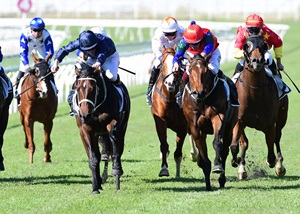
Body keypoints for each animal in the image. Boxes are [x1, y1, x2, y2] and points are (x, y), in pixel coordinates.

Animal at [73, 60, 130, 194]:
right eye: (77, 87)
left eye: (93, 88)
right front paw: (95, 187)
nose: (85, 114)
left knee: (116, 149)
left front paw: (116, 171)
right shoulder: (85, 129)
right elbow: (93, 157)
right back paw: (100, 179)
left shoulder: (113, 123)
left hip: (122, 128)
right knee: (99, 154)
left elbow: (114, 151)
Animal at [151, 46, 193, 178]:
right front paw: (164, 169)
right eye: (163, 62)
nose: (170, 83)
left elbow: (178, 152)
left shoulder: (183, 126)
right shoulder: (160, 121)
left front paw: (178, 174)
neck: (170, 98)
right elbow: (164, 145)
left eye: (177, 64)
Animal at [182, 54, 238, 191]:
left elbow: (217, 143)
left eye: (206, 71)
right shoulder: (195, 127)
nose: (199, 93)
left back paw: (222, 179)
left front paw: (217, 166)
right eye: (190, 70)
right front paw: (207, 185)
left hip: (229, 127)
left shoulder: (218, 117)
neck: (203, 100)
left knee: (224, 151)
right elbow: (203, 153)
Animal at [230, 35, 288, 179]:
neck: (254, 91)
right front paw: (237, 163)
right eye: (246, 45)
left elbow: (271, 144)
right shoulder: (239, 121)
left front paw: (272, 162)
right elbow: (237, 145)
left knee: (277, 138)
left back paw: (279, 166)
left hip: (282, 117)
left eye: (264, 45)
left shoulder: (270, 123)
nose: (257, 61)